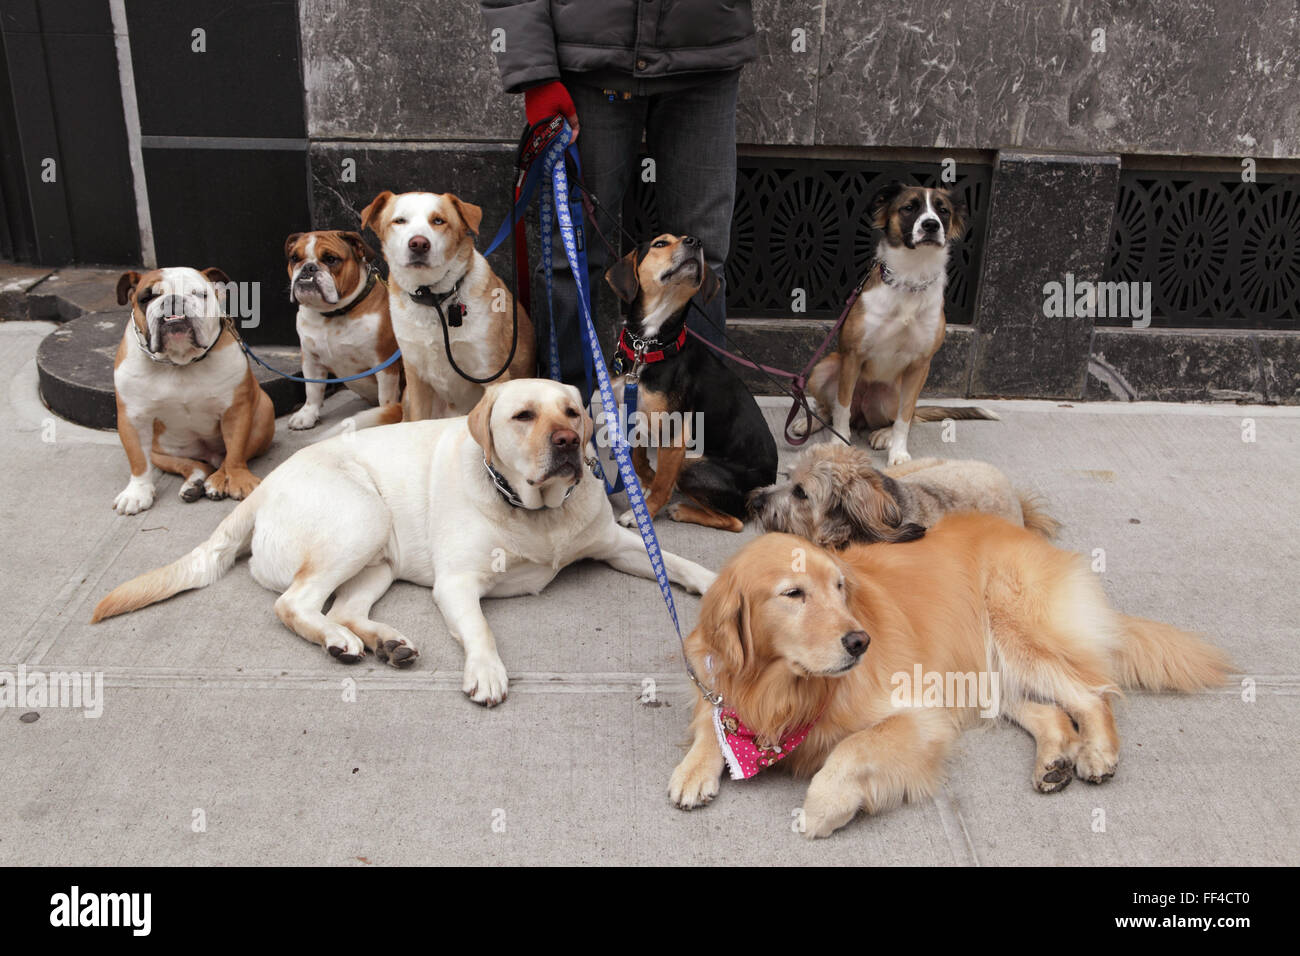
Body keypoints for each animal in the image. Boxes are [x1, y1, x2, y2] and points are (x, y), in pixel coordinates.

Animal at [110, 265, 275, 520]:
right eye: (146, 298)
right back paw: (195, 483)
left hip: (263, 413)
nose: (173, 301)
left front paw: (239, 479)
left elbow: (236, 450)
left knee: (227, 458)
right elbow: (138, 460)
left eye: (199, 294)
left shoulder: (235, 410)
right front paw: (137, 492)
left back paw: (216, 481)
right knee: (194, 465)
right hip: (161, 453)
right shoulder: (132, 418)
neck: (179, 361)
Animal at [283, 228, 400, 429]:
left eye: (331, 259)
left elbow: (386, 396)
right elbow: (312, 390)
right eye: (294, 258)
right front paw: (307, 414)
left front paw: (384, 415)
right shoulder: (311, 360)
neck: (332, 314)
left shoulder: (385, 363)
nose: (308, 267)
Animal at [356, 192, 533, 421]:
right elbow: (417, 420)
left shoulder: (492, 372)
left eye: (438, 221)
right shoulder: (416, 378)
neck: (433, 300)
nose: (418, 244)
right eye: (400, 221)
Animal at [603, 231, 774, 530]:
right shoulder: (632, 412)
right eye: (660, 243)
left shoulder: (674, 434)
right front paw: (645, 482)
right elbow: (638, 459)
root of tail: (767, 486)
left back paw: (682, 510)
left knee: (735, 521)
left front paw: (644, 512)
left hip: (692, 464)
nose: (695, 242)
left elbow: (663, 485)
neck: (647, 346)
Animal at [790, 183, 993, 468]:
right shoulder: (853, 356)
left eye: (943, 210)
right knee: (832, 409)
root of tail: (862, 413)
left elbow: (905, 418)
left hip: (893, 393)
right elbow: (842, 408)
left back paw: (883, 433)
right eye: (909, 207)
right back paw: (809, 422)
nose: (931, 224)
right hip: (823, 369)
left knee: (909, 414)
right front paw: (838, 443)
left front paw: (898, 452)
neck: (910, 278)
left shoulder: (920, 365)